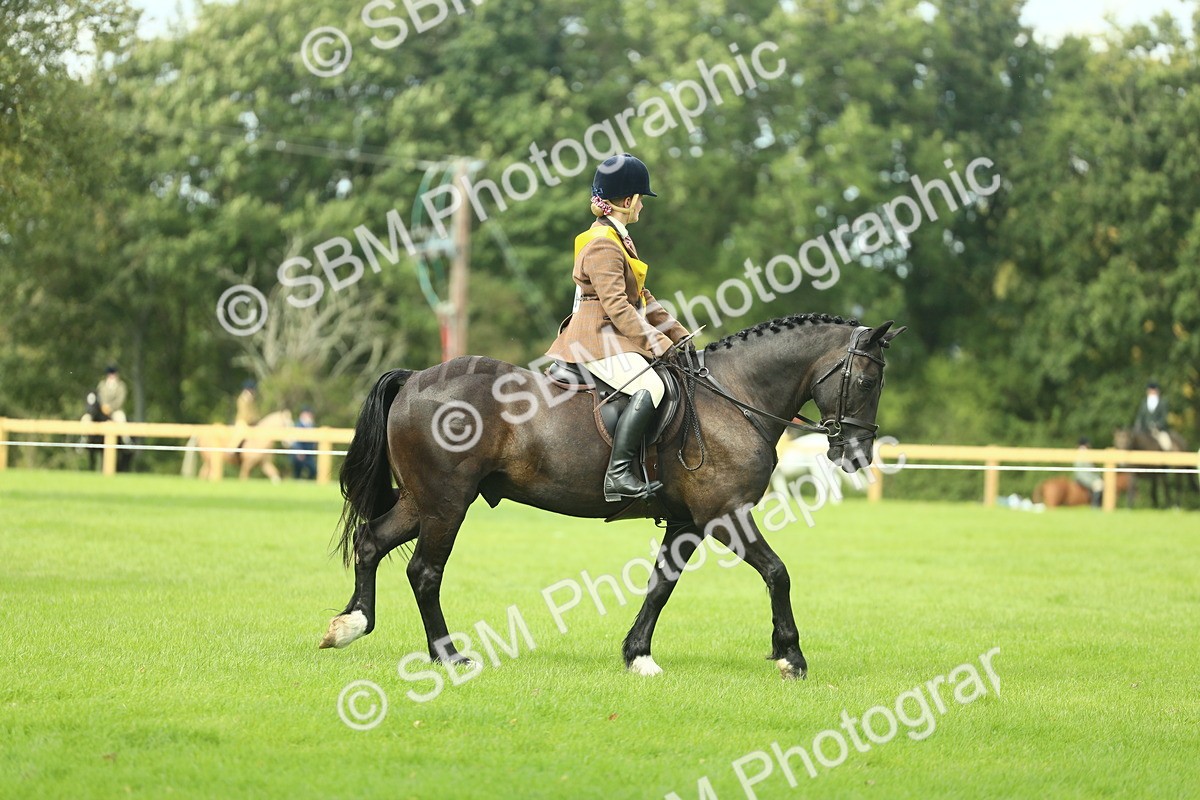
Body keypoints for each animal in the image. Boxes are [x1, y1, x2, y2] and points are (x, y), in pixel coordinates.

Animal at [320, 314, 904, 681]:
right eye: (868, 380)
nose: (857, 454)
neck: (734, 398)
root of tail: (417, 377)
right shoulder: (726, 516)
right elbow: (778, 573)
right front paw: (791, 657)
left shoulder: (688, 522)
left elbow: (660, 586)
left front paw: (637, 655)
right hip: (447, 504)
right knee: (424, 572)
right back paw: (447, 655)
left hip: (421, 502)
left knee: (371, 543)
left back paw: (350, 625)